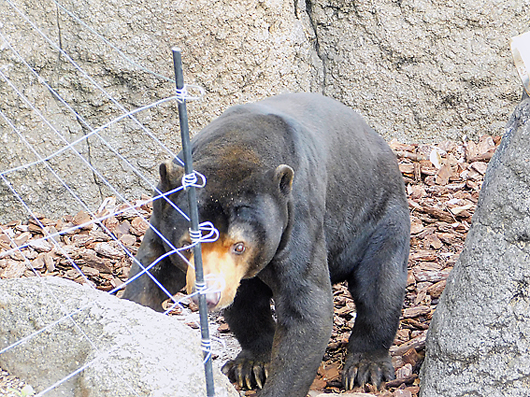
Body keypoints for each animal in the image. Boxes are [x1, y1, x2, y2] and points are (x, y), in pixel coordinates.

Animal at [120, 93, 408, 396]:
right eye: (188, 245)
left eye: (239, 246)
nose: (208, 297)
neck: (237, 146)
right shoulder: (162, 216)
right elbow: (151, 274)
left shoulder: (297, 218)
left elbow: (307, 311)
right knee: (246, 302)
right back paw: (253, 364)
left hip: (381, 218)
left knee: (380, 286)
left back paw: (365, 368)